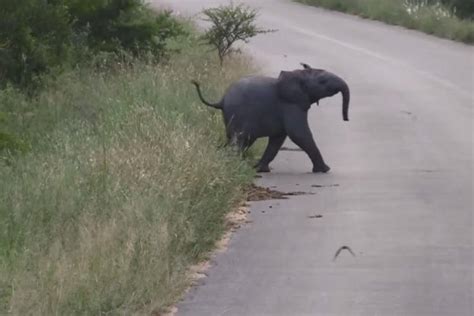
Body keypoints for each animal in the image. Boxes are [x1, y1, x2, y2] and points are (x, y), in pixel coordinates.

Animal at [191, 62, 350, 173]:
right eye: (323, 82)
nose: (346, 119)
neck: (299, 74)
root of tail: (222, 100)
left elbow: (278, 139)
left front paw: (260, 169)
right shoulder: (291, 104)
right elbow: (298, 134)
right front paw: (325, 170)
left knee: (241, 140)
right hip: (238, 115)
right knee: (239, 139)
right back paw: (233, 163)